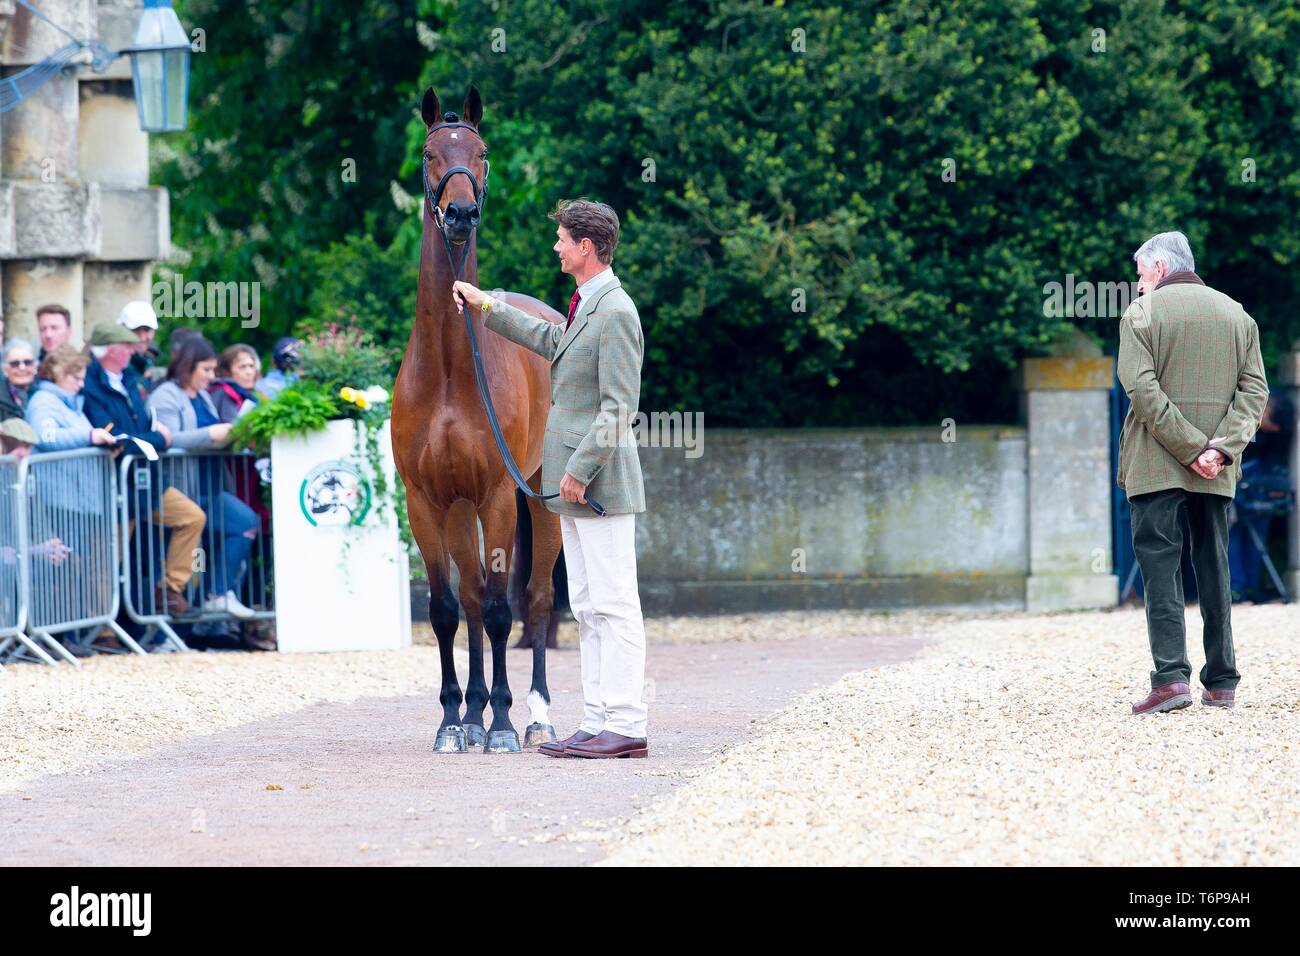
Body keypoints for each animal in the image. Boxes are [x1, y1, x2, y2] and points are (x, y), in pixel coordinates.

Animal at [392, 86, 566, 754]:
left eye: (482, 152)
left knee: (536, 599)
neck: (448, 366)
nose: (461, 212)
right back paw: (469, 714)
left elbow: (498, 610)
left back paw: (537, 714)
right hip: (459, 509)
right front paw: (451, 720)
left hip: (539, 497)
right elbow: (448, 610)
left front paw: (504, 724)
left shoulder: (494, 495)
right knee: (467, 600)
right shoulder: (425, 500)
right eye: (429, 153)